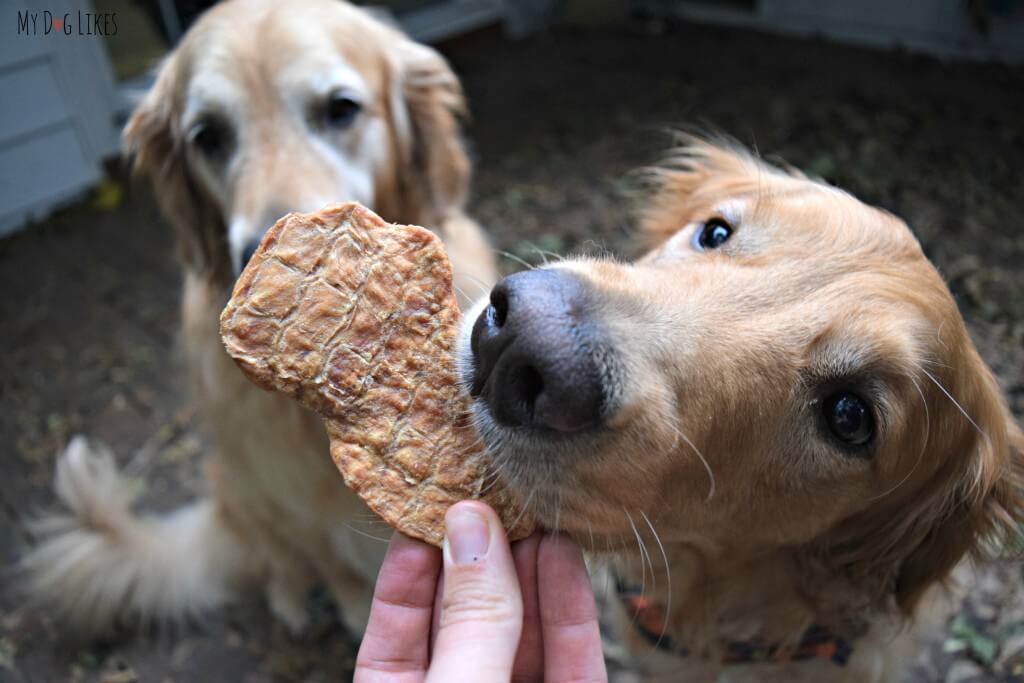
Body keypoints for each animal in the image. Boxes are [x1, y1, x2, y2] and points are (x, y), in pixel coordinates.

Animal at [27, 0, 495, 634]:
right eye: (207, 136)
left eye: (340, 108)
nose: (252, 255)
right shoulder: (289, 493)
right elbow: (336, 569)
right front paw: (351, 614)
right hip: (243, 488)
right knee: (282, 562)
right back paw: (291, 602)